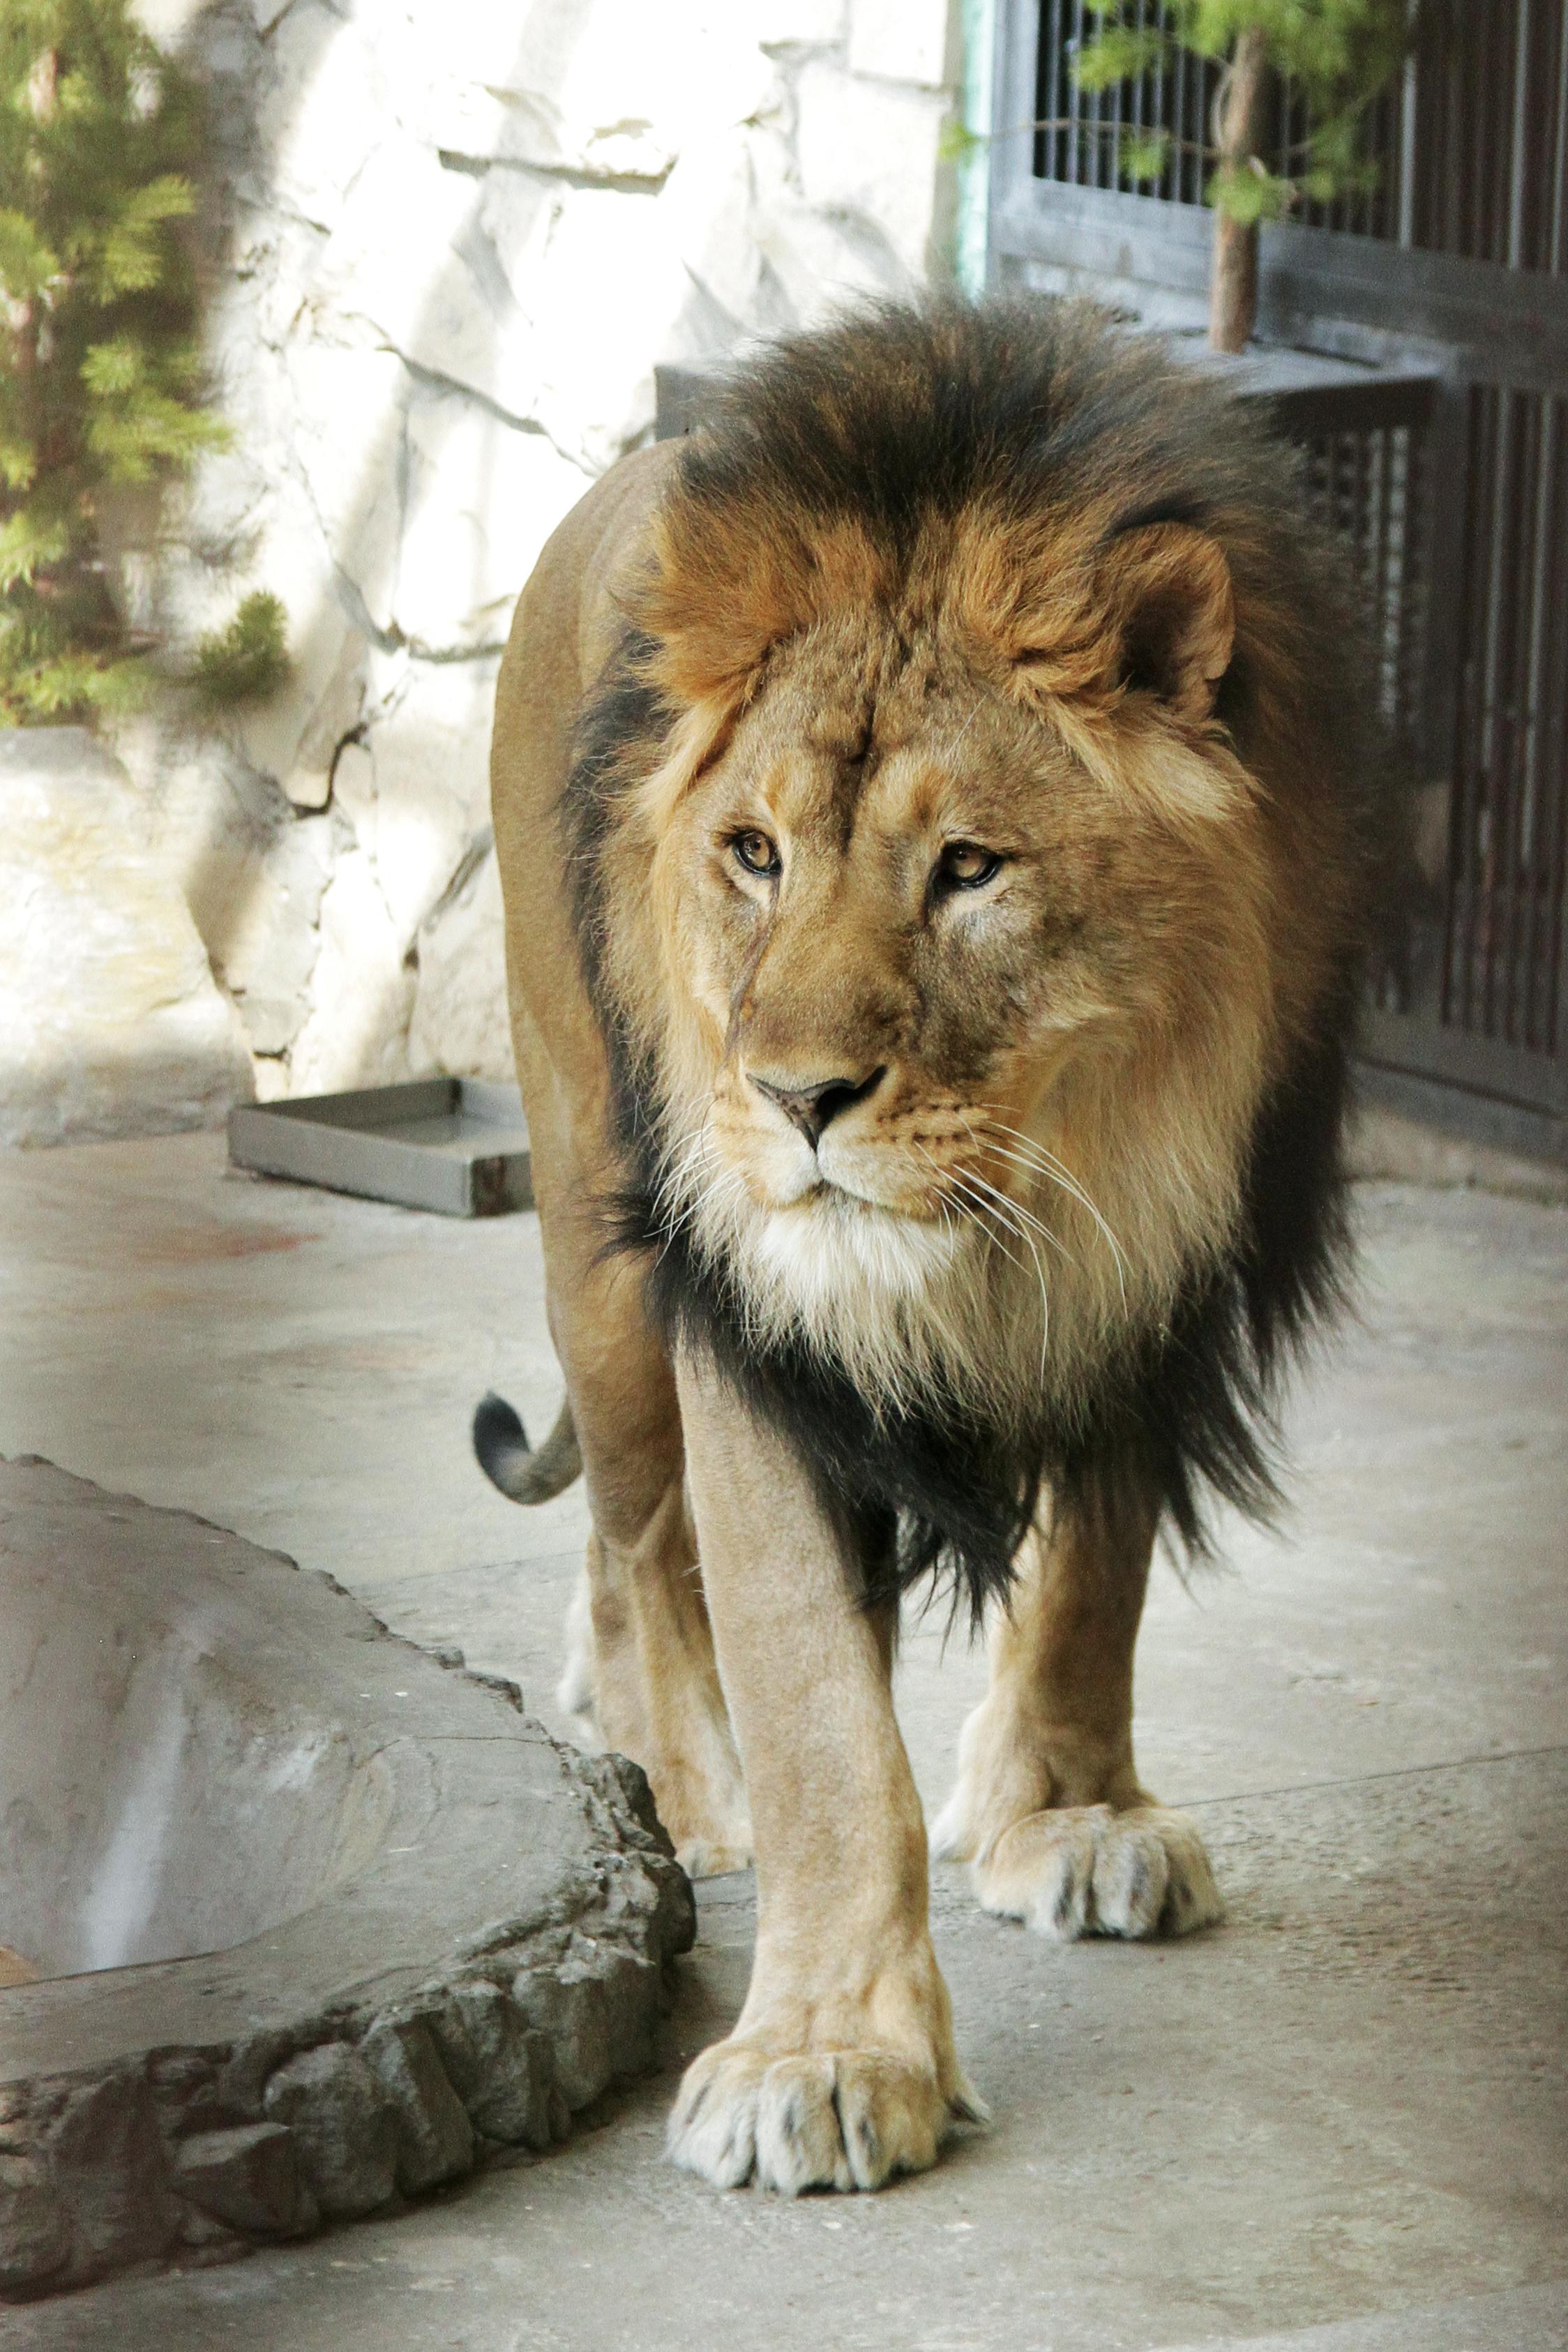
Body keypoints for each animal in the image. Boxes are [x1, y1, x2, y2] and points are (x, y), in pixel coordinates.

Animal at [481, 303, 1382, 2192]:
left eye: (969, 867)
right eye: (752, 853)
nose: (793, 1098)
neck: (1032, 1196)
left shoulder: (1154, 1271)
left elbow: (1097, 1570)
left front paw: (1068, 1816)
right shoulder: (744, 1316)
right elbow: (815, 1699)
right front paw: (824, 2050)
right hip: (598, 1242)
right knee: (639, 1531)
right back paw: (684, 1787)